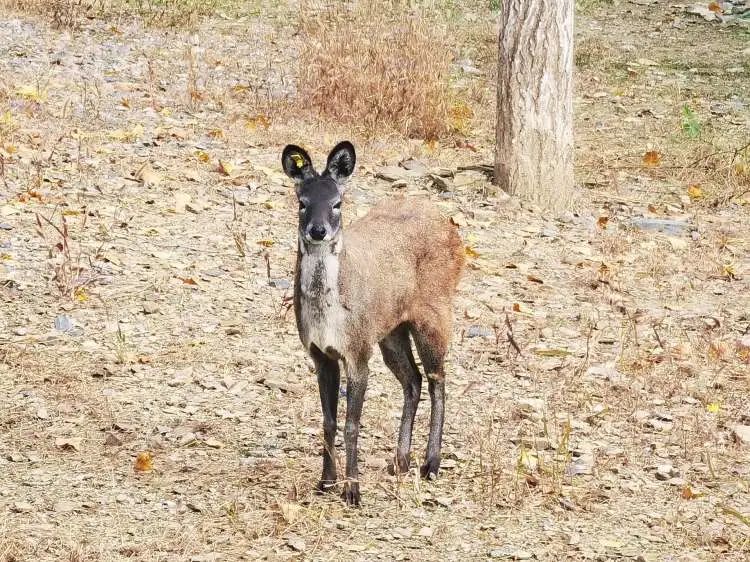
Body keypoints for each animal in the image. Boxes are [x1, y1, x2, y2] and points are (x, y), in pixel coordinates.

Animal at [284, 140, 464, 504]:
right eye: (302, 202)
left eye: (337, 203)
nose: (318, 230)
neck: (330, 318)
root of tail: (452, 229)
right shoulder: (320, 353)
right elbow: (328, 420)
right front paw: (325, 482)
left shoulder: (357, 350)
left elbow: (352, 423)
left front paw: (353, 490)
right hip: (391, 330)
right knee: (413, 380)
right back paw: (400, 461)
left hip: (435, 312)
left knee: (437, 379)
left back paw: (431, 464)